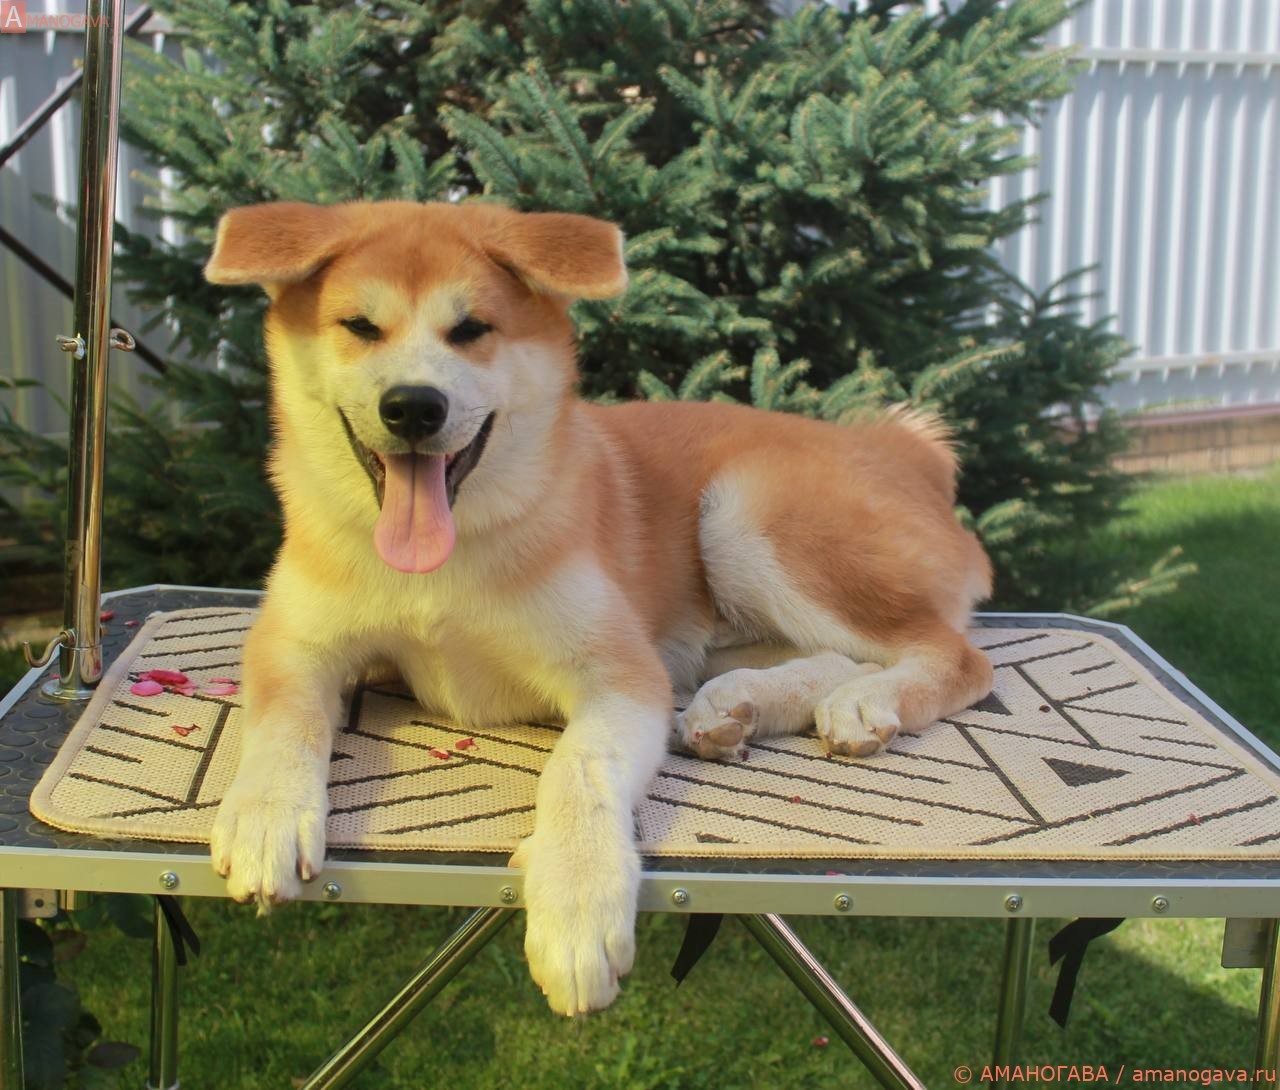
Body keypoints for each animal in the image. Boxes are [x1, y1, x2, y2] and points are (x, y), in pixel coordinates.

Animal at [203, 199, 994, 1015]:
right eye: (360, 325)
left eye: (473, 329)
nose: (415, 407)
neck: (440, 572)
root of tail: (901, 452)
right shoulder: (294, 642)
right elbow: (286, 720)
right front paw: (266, 814)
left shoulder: (618, 673)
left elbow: (576, 770)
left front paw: (578, 903)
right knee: (830, 654)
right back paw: (734, 708)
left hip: (747, 514)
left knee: (953, 654)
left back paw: (868, 703)